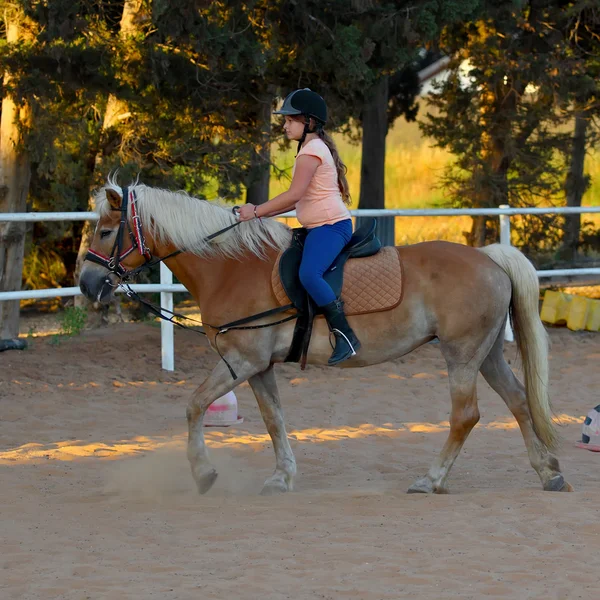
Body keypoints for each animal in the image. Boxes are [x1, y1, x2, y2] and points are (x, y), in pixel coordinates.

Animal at [78, 182, 572, 496]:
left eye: (105, 231)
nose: (87, 284)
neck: (232, 267)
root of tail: (489, 258)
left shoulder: (241, 360)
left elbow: (195, 405)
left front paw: (203, 474)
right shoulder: (258, 367)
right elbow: (274, 419)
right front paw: (282, 477)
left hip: (463, 355)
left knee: (465, 416)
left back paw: (430, 480)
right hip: (485, 355)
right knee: (519, 402)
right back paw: (548, 473)